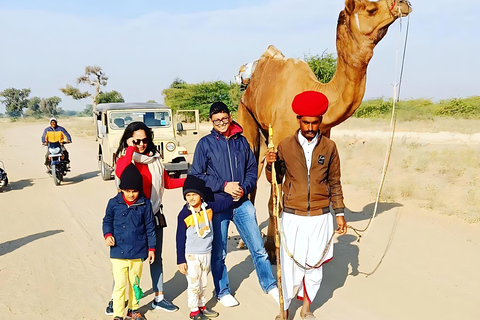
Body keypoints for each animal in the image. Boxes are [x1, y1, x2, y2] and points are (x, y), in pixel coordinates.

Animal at [236, 0, 412, 260]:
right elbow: (275, 199)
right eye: (370, 9)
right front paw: (272, 248)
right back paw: (244, 240)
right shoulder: (279, 146)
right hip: (245, 112)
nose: (404, 3)